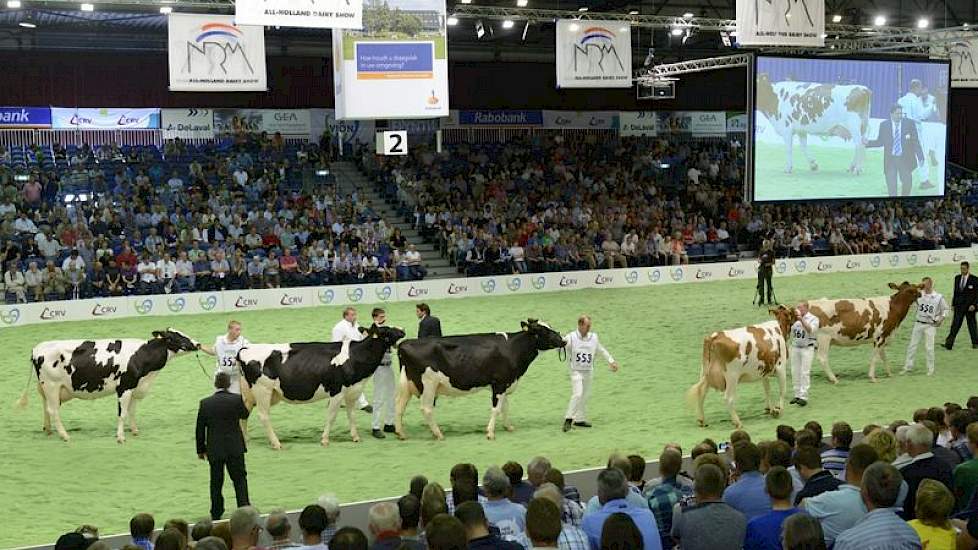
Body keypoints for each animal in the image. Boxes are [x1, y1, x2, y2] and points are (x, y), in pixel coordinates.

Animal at [18, 332, 202, 444]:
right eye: (177, 337)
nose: (198, 343)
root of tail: (37, 348)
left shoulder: (134, 387)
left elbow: (132, 411)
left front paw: (134, 430)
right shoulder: (124, 388)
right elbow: (122, 413)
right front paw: (120, 437)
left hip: (46, 388)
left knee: (46, 408)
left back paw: (48, 430)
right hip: (52, 385)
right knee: (53, 410)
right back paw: (65, 435)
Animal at [233, 326, 404, 450]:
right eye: (387, 330)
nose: (403, 330)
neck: (355, 356)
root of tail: (246, 348)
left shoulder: (352, 390)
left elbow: (351, 415)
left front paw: (355, 437)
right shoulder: (337, 391)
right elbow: (331, 416)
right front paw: (325, 440)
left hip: (250, 393)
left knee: (244, 413)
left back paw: (246, 439)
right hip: (263, 390)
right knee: (263, 416)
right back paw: (276, 443)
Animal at [392, 322, 564, 442]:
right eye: (543, 330)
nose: (563, 340)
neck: (513, 348)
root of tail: (404, 343)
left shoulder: (505, 383)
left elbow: (505, 407)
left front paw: (508, 427)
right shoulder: (500, 383)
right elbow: (496, 409)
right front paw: (490, 433)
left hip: (406, 383)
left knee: (399, 405)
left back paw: (401, 433)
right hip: (428, 384)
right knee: (426, 409)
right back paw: (438, 434)